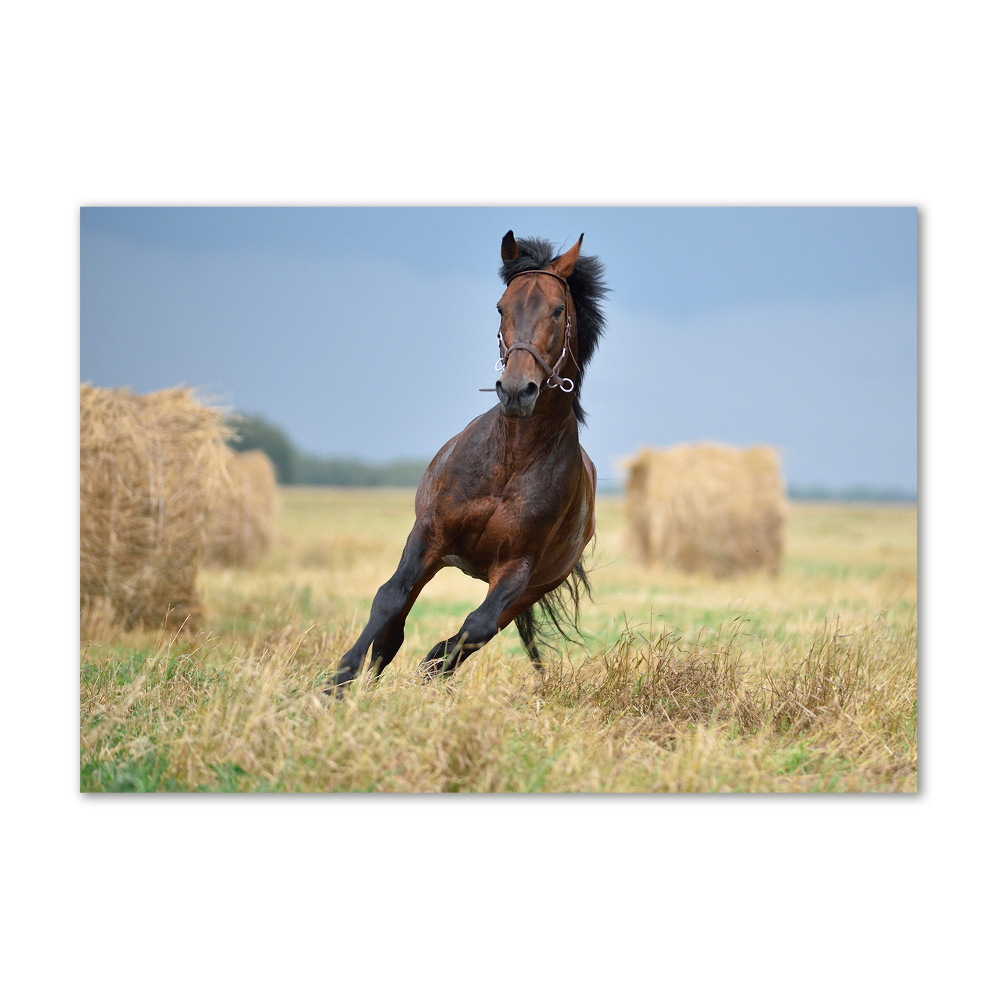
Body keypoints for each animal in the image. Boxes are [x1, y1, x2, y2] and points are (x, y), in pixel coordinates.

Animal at [330, 230, 608, 692]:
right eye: (501, 307)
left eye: (558, 310)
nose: (516, 391)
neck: (511, 460)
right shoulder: (429, 534)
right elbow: (388, 600)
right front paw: (338, 683)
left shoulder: (517, 568)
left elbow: (473, 629)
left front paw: (421, 673)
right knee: (395, 629)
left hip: (529, 589)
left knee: (473, 634)